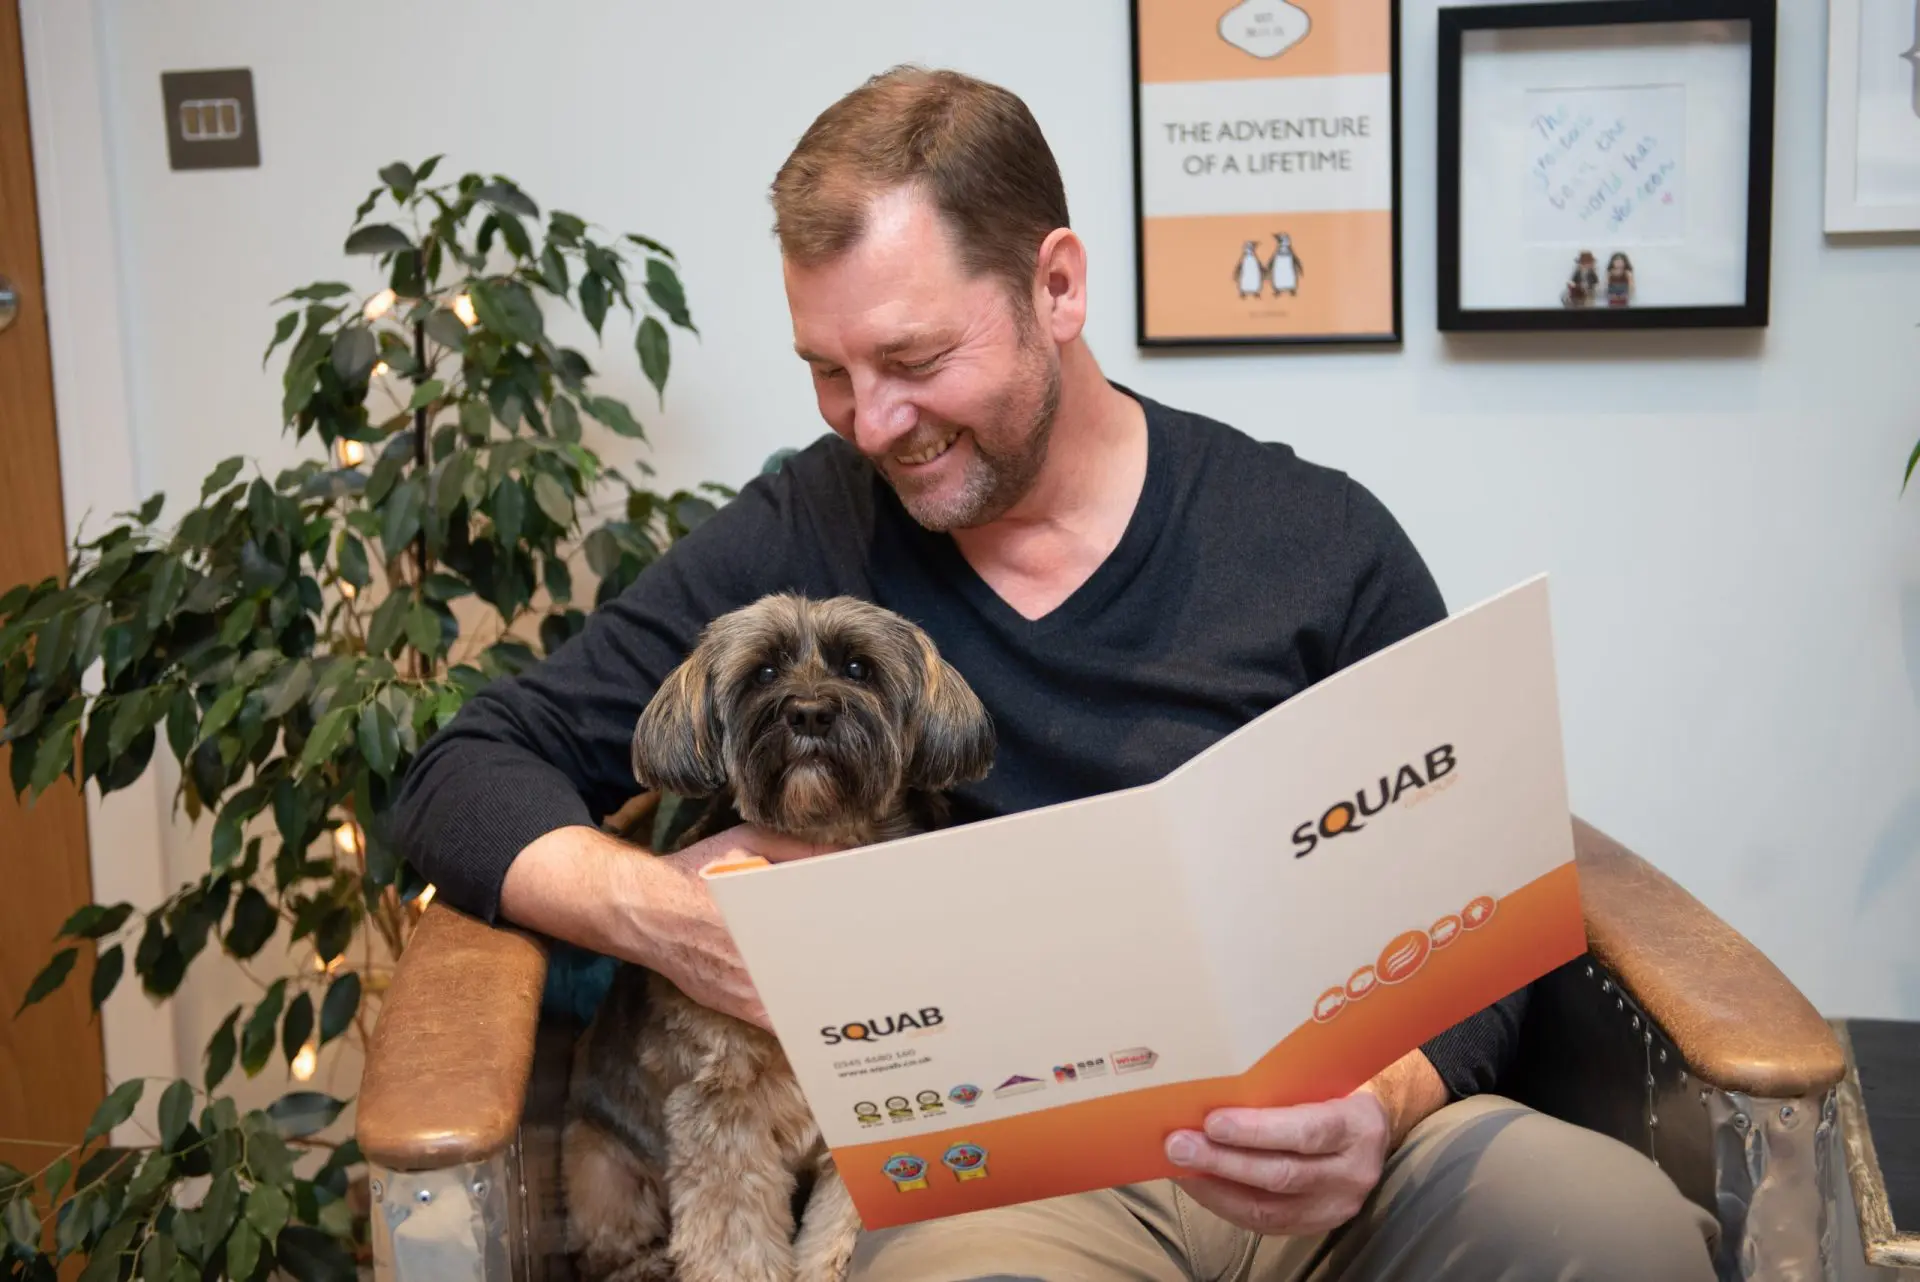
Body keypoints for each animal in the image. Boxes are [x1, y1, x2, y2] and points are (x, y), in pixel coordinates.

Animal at [560, 598, 998, 1282]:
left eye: (858, 668)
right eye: (764, 672)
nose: (810, 712)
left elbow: (840, 1224)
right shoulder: (719, 1115)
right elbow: (733, 1241)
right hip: (598, 1164)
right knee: (612, 1244)